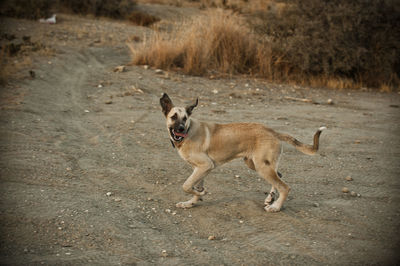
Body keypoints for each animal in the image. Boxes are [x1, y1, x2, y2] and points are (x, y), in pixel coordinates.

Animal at [159, 93, 324, 212]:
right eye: (173, 117)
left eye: (185, 118)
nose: (180, 129)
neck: (189, 131)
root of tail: (272, 131)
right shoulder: (199, 169)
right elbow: (195, 187)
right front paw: (191, 202)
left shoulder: (205, 166)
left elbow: (186, 186)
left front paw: (200, 194)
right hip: (256, 164)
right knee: (279, 176)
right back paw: (270, 199)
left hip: (262, 166)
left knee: (285, 186)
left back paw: (276, 207)